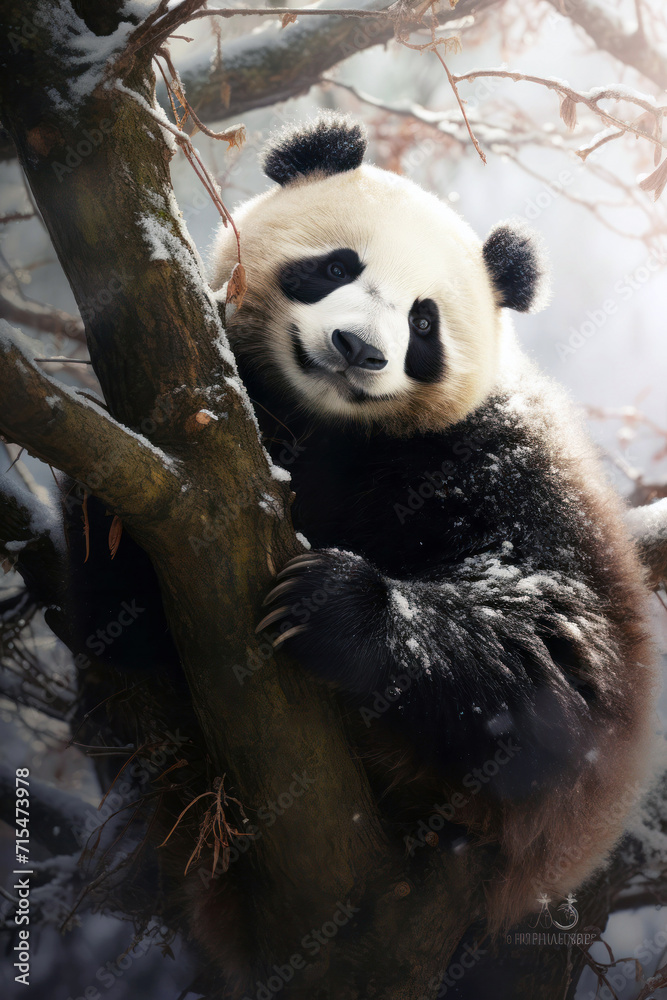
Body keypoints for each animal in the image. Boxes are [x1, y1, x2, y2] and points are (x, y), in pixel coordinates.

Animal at [212, 114, 657, 931]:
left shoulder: (497, 461)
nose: (358, 349)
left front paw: (330, 604)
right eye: (335, 267)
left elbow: (555, 664)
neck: (330, 428)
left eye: (424, 322)